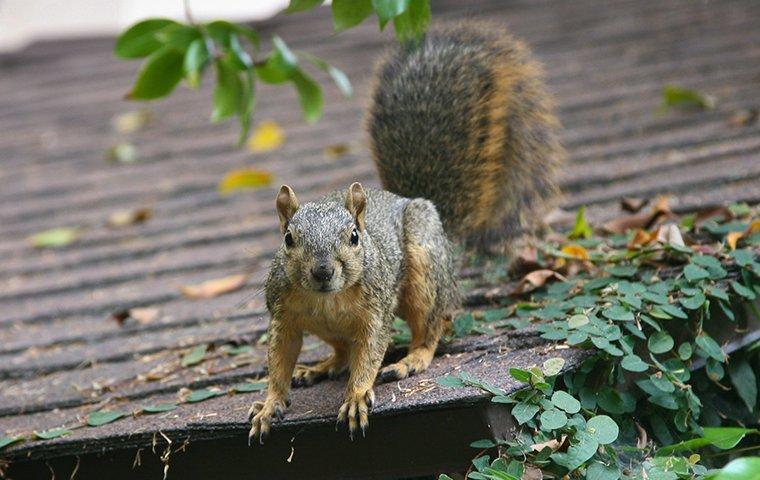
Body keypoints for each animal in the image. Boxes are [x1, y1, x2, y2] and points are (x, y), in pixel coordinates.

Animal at [246, 21, 560, 442]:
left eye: (354, 237)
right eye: (288, 239)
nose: (323, 271)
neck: (328, 299)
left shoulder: (375, 311)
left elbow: (369, 354)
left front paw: (357, 395)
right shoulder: (283, 314)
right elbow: (279, 358)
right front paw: (269, 403)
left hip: (425, 269)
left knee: (430, 328)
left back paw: (412, 359)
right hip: (330, 328)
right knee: (342, 351)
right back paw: (321, 366)